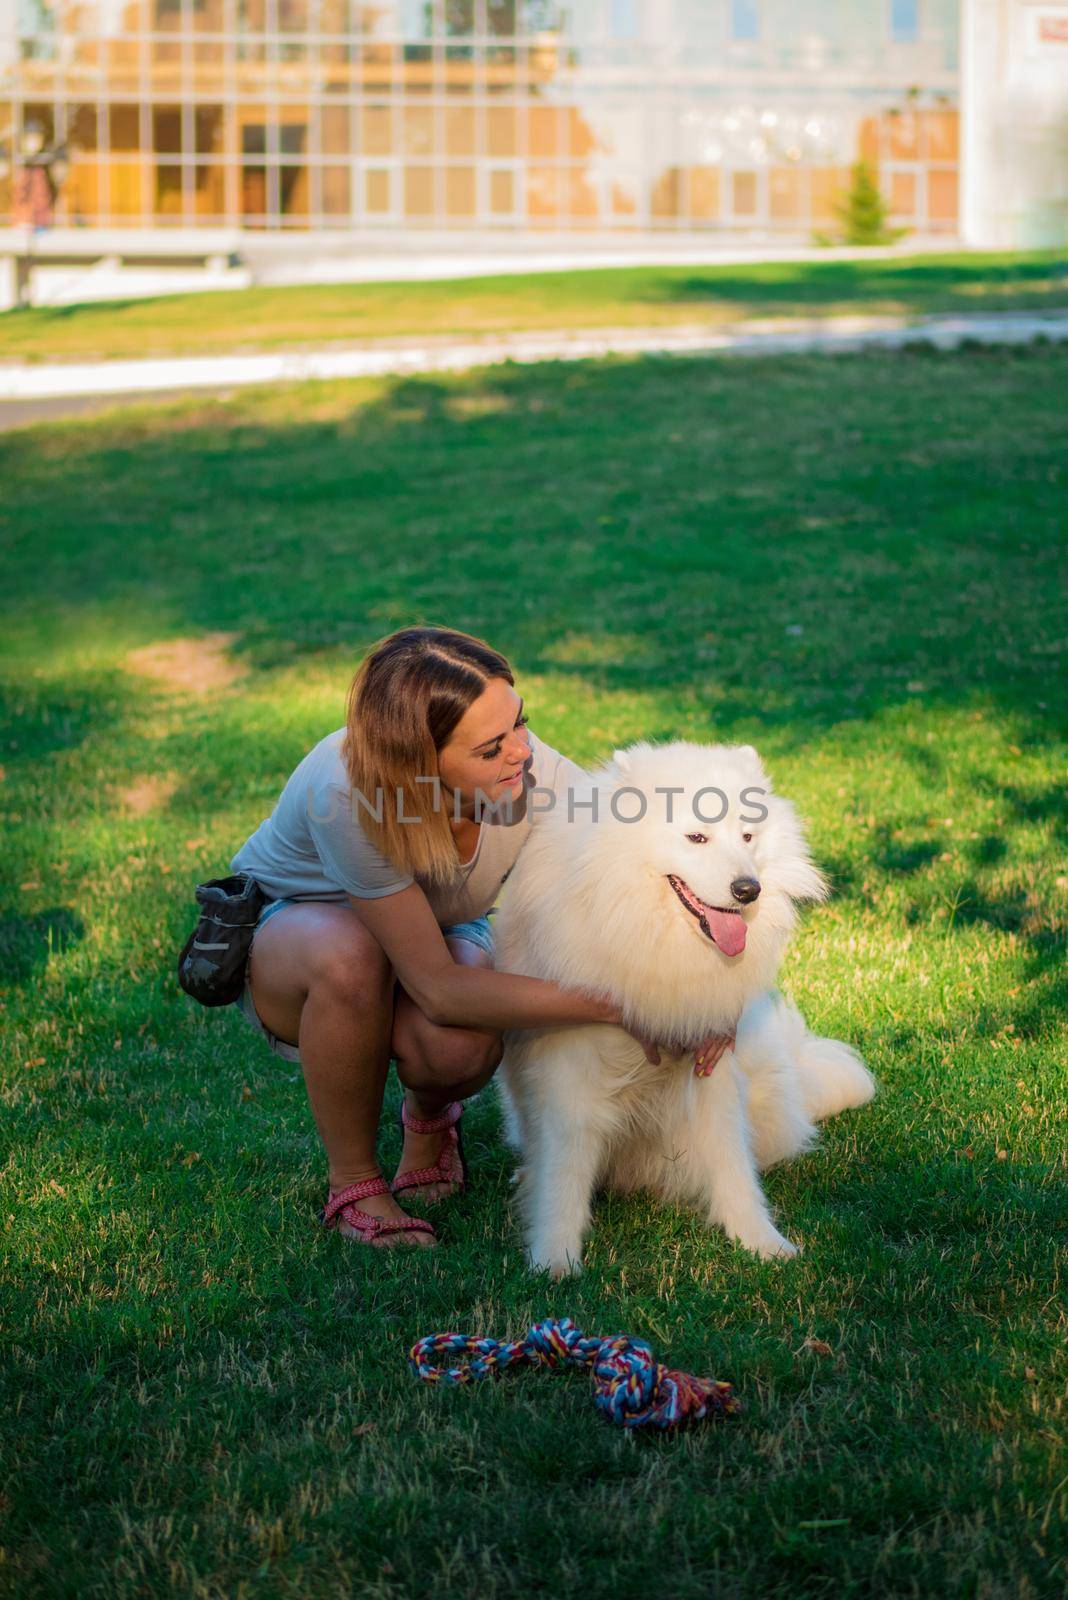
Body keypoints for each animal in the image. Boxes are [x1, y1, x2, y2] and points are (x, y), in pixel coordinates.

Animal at [495, 736, 876, 1273]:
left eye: (747, 836)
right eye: (697, 837)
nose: (748, 890)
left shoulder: (712, 1061)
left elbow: (733, 1163)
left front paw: (762, 1243)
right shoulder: (571, 1072)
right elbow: (563, 1174)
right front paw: (555, 1259)